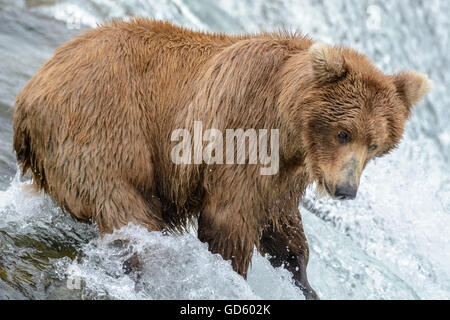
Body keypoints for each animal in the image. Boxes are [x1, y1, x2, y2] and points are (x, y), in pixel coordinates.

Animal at [12, 19, 430, 300]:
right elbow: (230, 218)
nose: (345, 190)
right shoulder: (243, 131)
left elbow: (283, 227)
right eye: (344, 132)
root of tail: (28, 97)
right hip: (103, 124)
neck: (289, 125)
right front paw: (229, 278)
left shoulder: (287, 170)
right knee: (127, 210)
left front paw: (305, 282)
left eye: (374, 144)